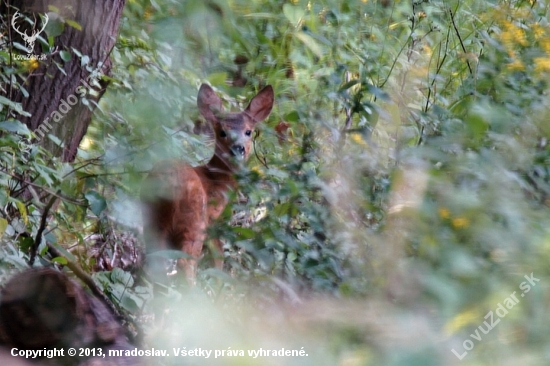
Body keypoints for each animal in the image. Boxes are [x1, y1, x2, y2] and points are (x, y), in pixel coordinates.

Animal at [140, 84, 274, 284]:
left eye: (248, 131)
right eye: (222, 132)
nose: (238, 149)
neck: (215, 181)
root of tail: (169, 183)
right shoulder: (209, 220)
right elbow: (218, 253)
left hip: (152, 218)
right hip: (193, 222)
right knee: (185, 262)